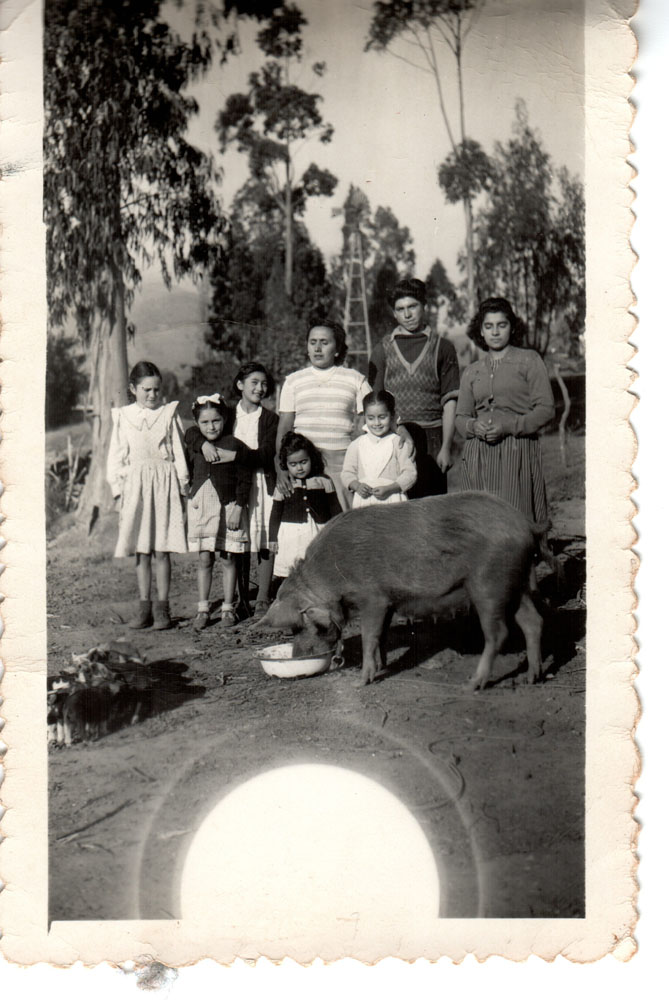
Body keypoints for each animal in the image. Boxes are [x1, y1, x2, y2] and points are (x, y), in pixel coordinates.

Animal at [258, 490, 544, 692]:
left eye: (301, 624)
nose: (297, 656)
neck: (333, 573)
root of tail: (525, 524)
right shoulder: (388, 602)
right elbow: (382, 636)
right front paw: (381, 667)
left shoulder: (373, 598)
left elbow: (369, 636)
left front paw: (361, 682)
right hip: (516, 585)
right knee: (533, 622)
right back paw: (532, 677)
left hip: (488, 585)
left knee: (498, 633)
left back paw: (472, 684)